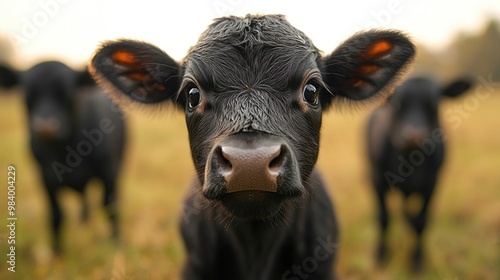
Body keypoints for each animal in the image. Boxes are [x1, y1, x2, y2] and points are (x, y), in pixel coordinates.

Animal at [0, 61, 125, 254]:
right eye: (28, 93)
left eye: (67, 92)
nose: (45, 128)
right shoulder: (46, 178)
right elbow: (56, 214)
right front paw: (56, 252)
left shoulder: (108, 172)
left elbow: (111, 207)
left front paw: (116, 245)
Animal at [368, 76, 472, 272]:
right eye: (398, 103)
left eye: (433, 104)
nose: (413, 136)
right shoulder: (377, 180)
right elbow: (384, 217)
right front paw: (381, 254)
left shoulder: (432, 184)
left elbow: (421, 222)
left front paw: (417, 260)